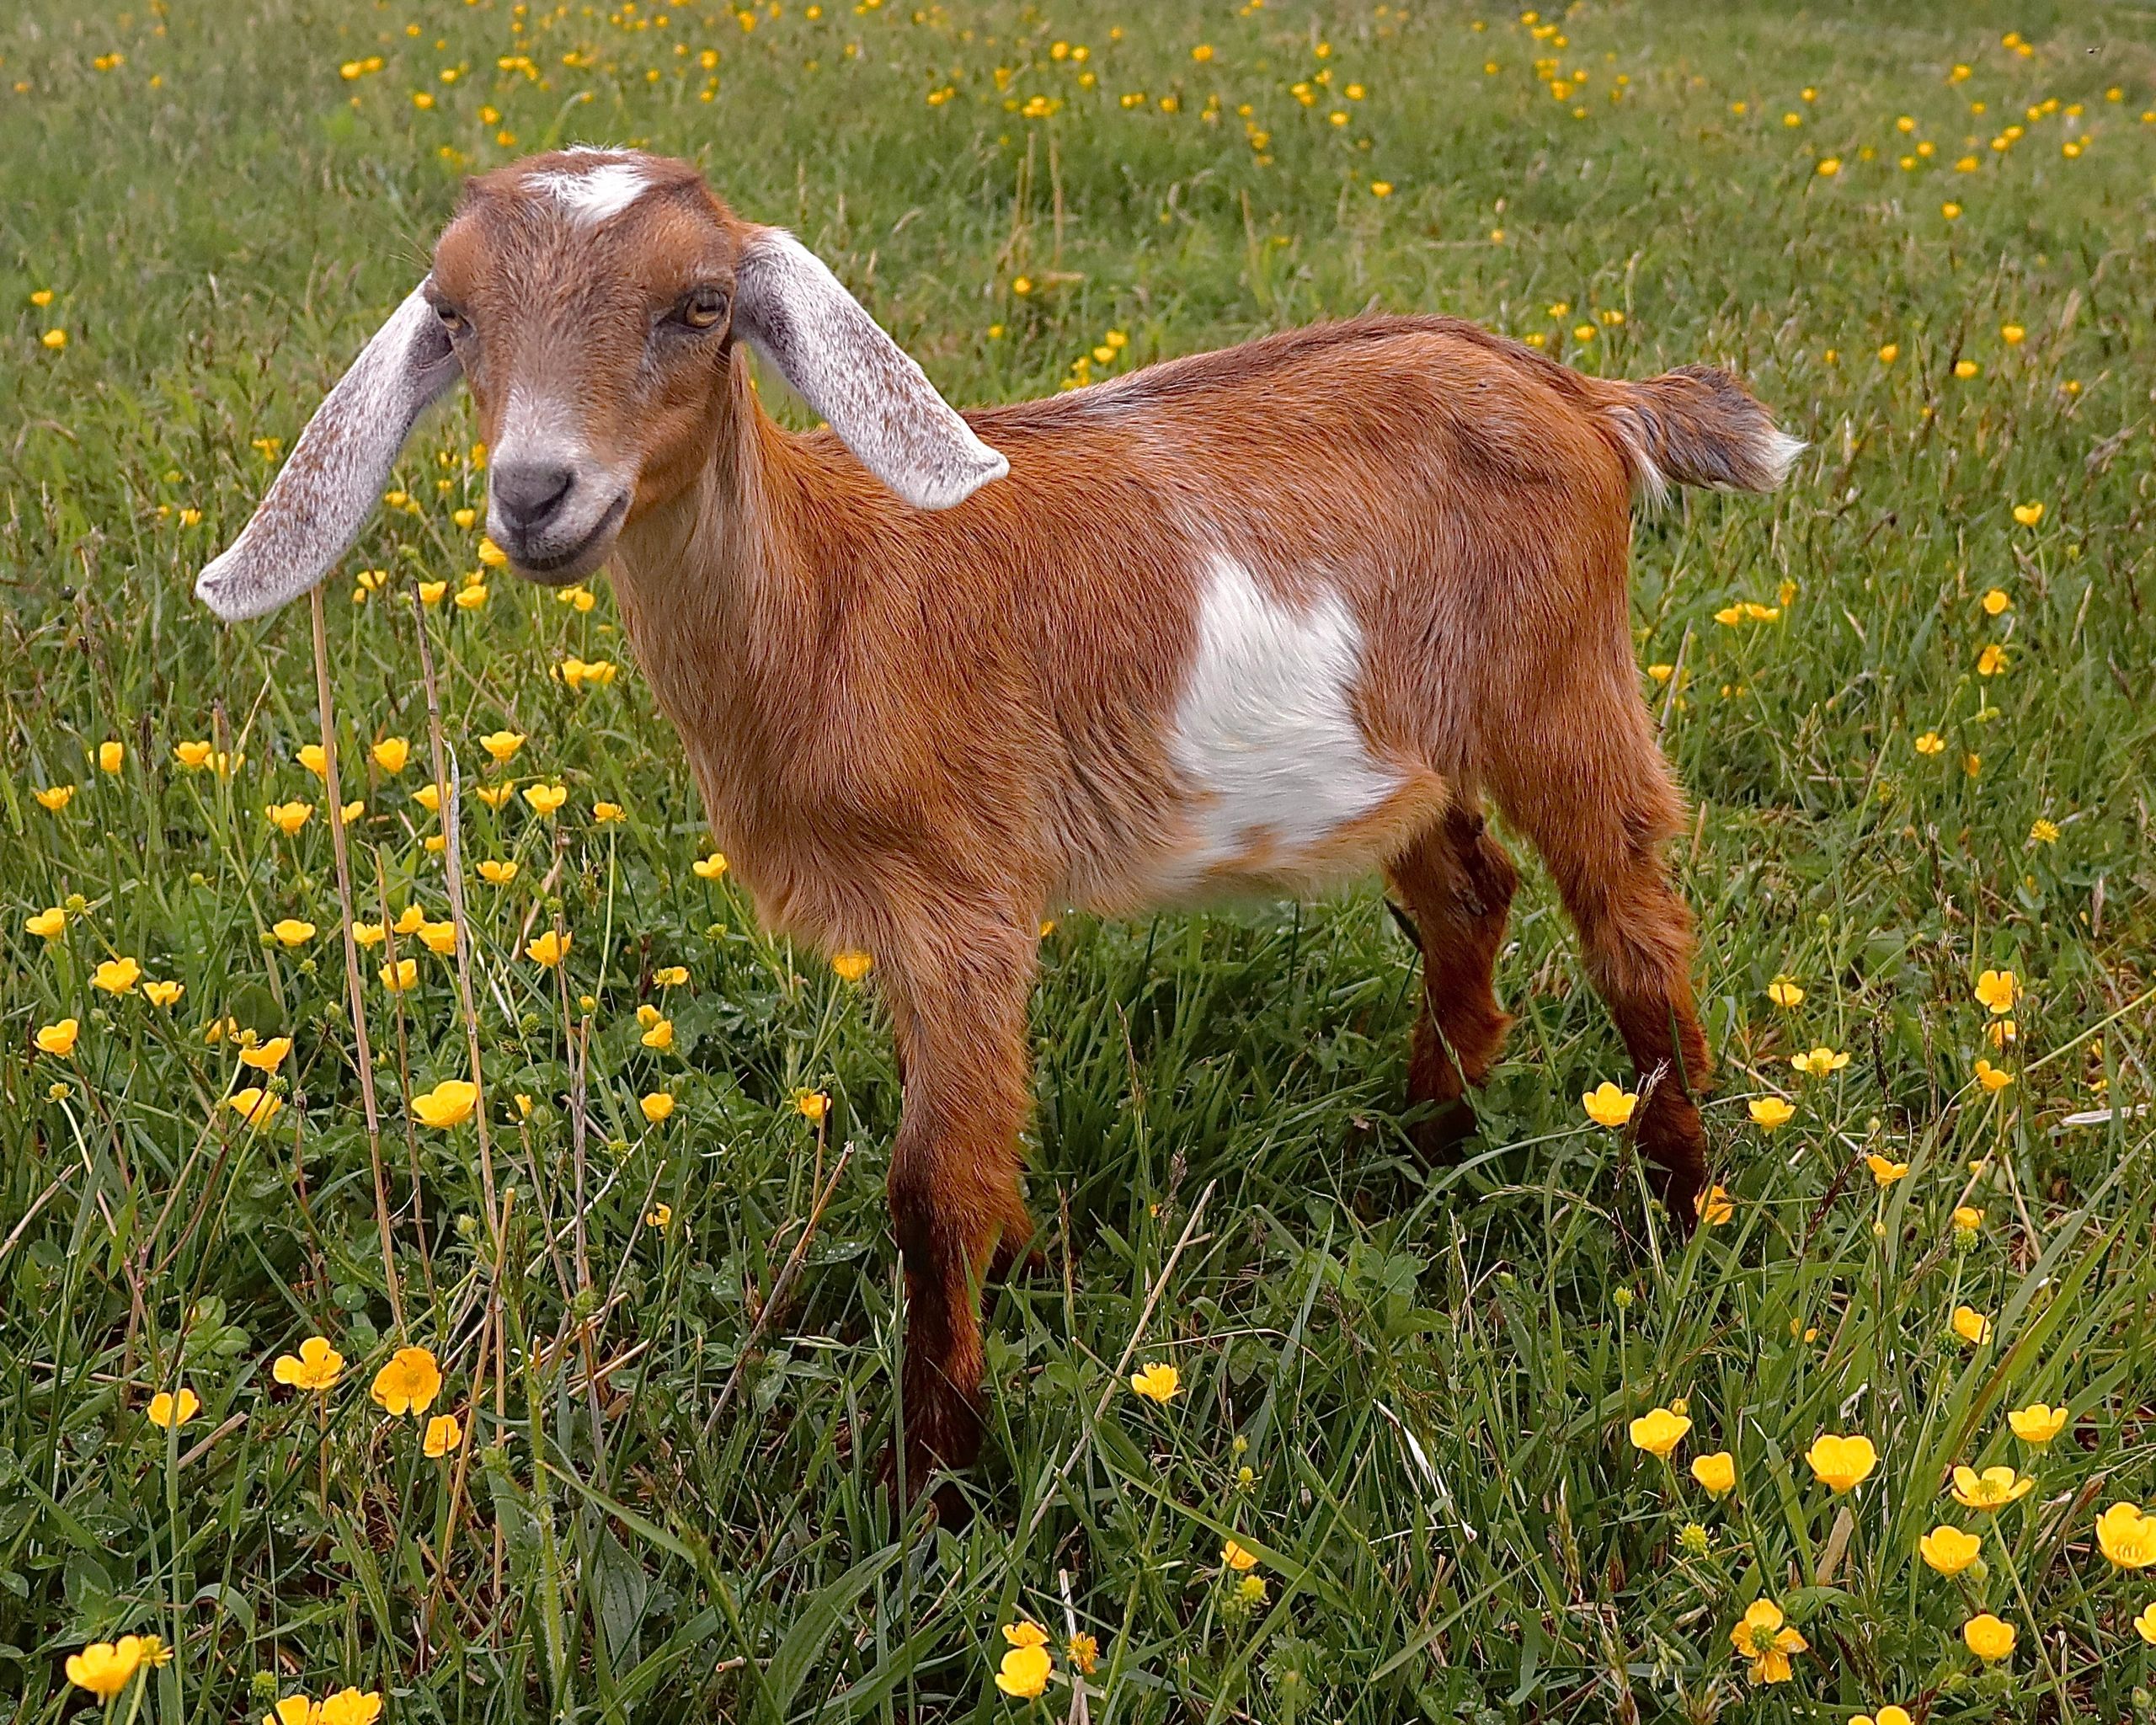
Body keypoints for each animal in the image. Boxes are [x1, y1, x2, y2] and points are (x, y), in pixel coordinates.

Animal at [198, 148, 1800, 1490]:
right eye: (457, 317)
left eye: (701, 305)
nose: (539, 494)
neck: (833, 602)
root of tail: (1586, 399)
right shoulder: (918, 930)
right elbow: (965, 1134)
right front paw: (1023, 1274)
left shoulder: (961, 899)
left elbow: (926, 1188)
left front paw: (938, 1479)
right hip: (1399, 753)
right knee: (1467, 893)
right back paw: (1423, 1143)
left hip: (1565, 687)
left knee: (1635, 927)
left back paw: (1683, 1220)